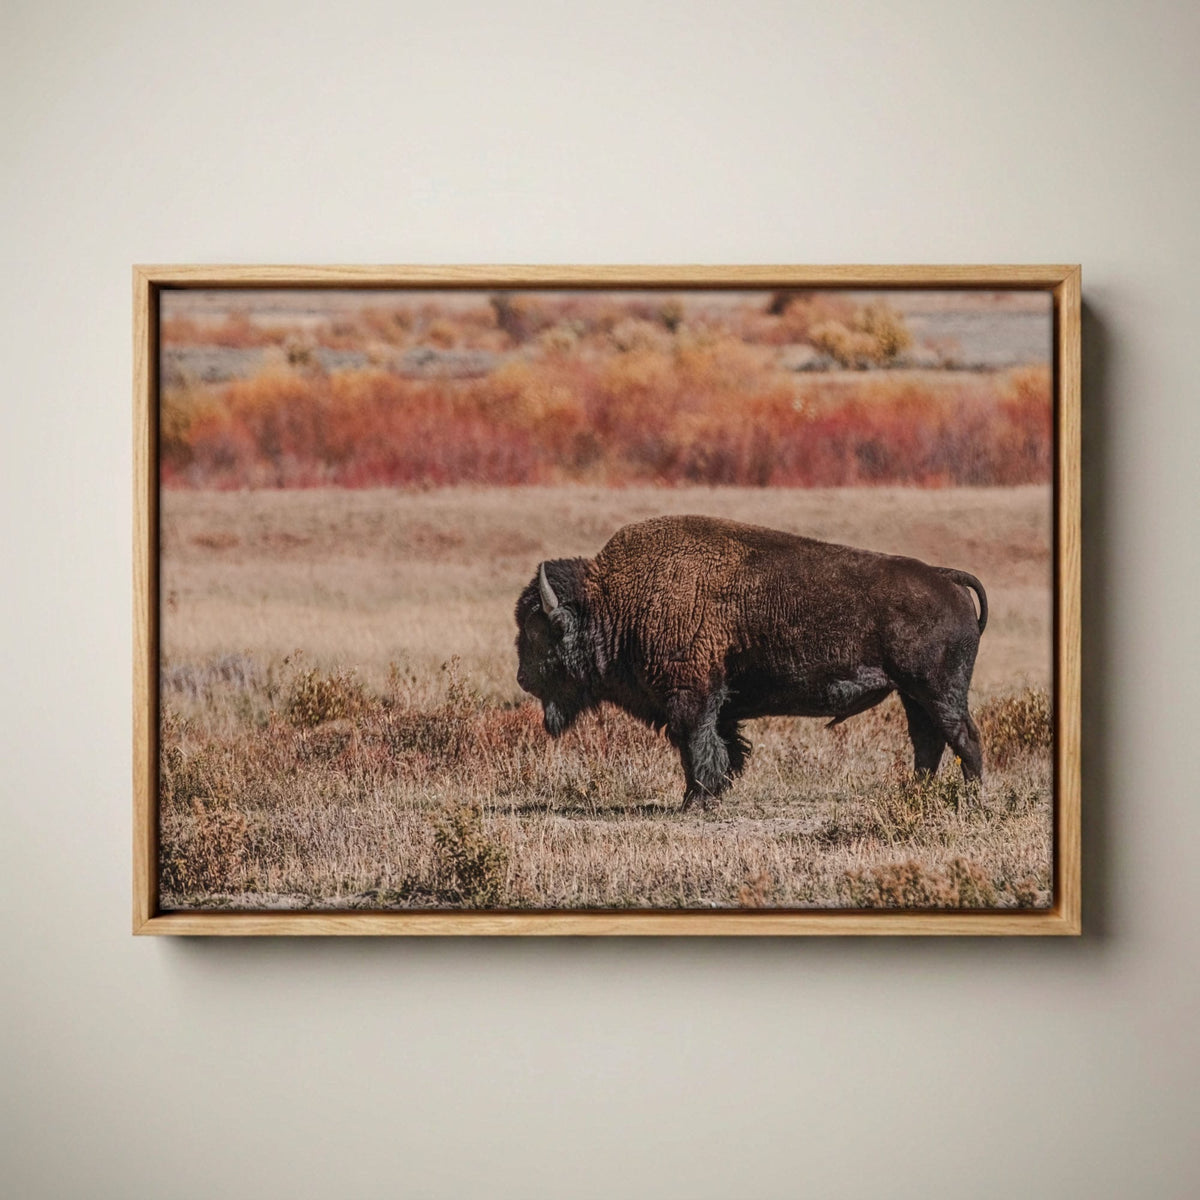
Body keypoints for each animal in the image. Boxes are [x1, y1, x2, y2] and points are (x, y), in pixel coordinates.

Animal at [515, 515, 988, 809]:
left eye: (537, 631)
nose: (521, 678)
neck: (617, 602)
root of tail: (945, 577)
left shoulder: (690, 698)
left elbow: (697, 746)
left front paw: (695, 802)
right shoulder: (718, 704)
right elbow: (722, 748)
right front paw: (707, 795)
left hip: (938, 690)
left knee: (963, 738)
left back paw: (971, 799)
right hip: (913, 695)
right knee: (928, 742)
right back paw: (919, 795)